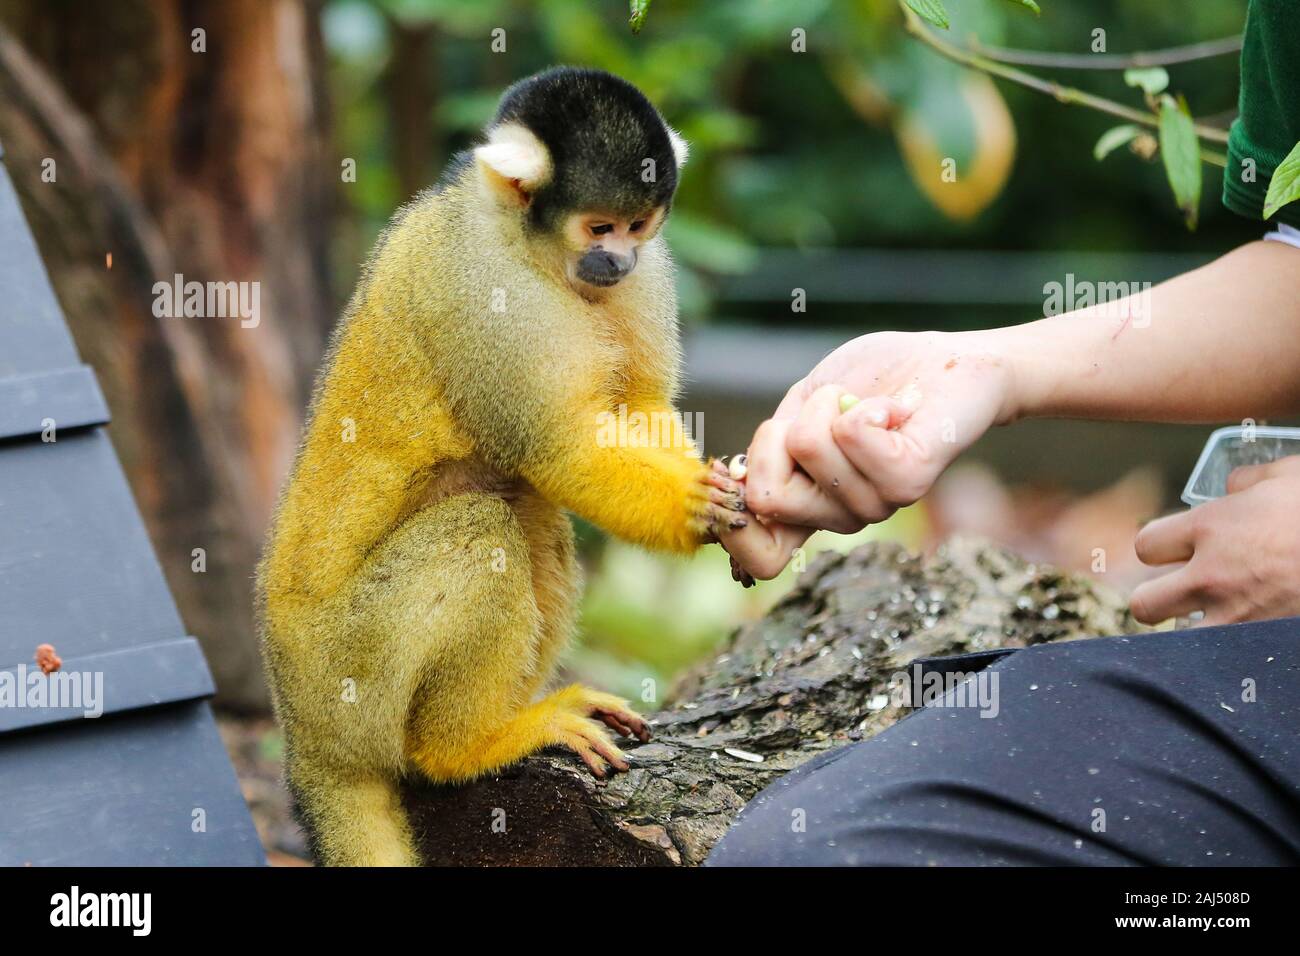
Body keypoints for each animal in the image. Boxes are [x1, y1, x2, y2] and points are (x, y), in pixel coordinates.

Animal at [257, 67, 749, 866]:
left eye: (639, 226)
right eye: (599, 228)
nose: (619, 261)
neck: (523, 240)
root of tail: (303, 742)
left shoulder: (650, 273)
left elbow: (638, 407)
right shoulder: (491, 294)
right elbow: (559, 447)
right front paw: (699, 511)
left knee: (530, 516)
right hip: (347, 677)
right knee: (479, 525)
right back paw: (465, 746)